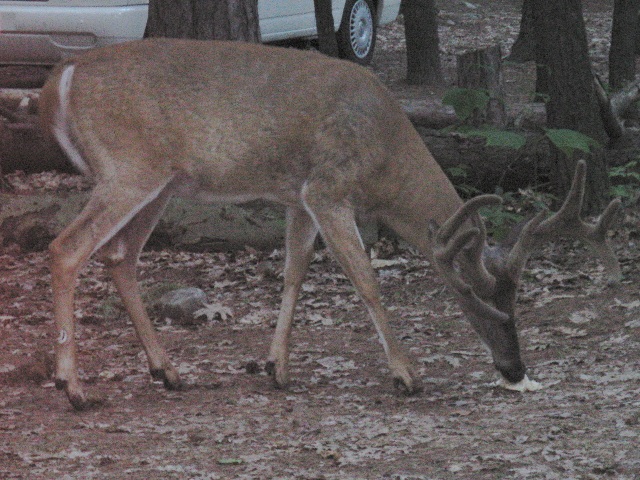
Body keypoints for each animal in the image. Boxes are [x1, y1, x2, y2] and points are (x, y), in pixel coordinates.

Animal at [38, 39, 620, 410]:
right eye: (470, 296)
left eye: (515, 301)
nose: (515, 369)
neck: (384, 156)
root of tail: (60, 76)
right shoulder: (329, 186)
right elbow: (365, 277)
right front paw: (406, 373)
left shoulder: (298, 196)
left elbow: (294, 273)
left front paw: (276, 368)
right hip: (128, 168)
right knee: (66, 248)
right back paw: (75, 388)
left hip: (161, 182)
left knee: (119, 256)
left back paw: (169, 372)